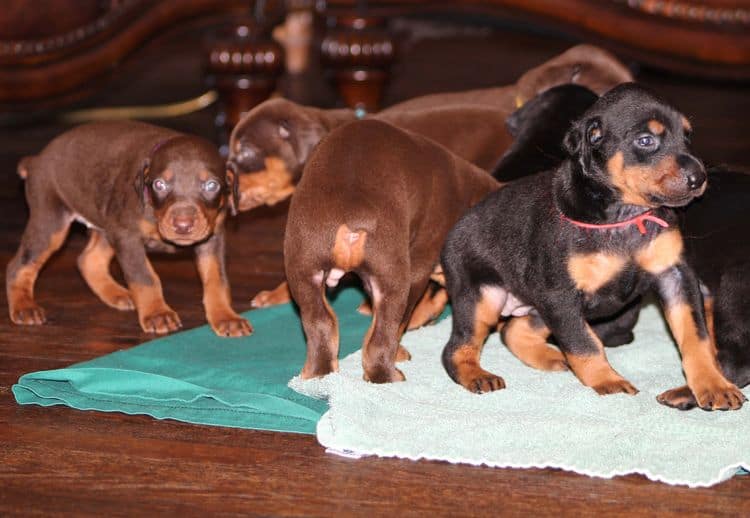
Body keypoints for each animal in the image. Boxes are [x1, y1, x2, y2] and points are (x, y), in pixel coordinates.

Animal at [6, 120, 253, 340]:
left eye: (211, 185)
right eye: (159, 184)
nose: (183, 226)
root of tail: (36, 160)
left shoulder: (212, 238)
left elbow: (217, 279)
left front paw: (225, 317)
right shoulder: (127, 237)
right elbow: (144, 277)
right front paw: (157, 313)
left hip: (107, 225)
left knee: (88, 260)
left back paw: (116, 294)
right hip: (51, 222)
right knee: (18, 266)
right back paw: (24, 307)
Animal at [284, 120, 502, 384]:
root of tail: (350, 215)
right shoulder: (420, 267)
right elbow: (402, 322)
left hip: (305, 269)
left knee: (320, 323)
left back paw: (316, 375)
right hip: (393, 279)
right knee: (382, 336)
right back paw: (388, 374)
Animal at [440, 83, 748, 412]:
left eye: (687, 137)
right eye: (646, 140)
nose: (699, 178)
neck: (627, 215)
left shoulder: (675, 275)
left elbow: (696, 335)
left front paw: (713, 384)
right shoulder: (560, 295)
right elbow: (585, 344)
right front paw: (609, 382)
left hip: (537, 307)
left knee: (513, 331)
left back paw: (551, 357)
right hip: (482, 296)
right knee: (457, 347)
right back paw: (478, 375)